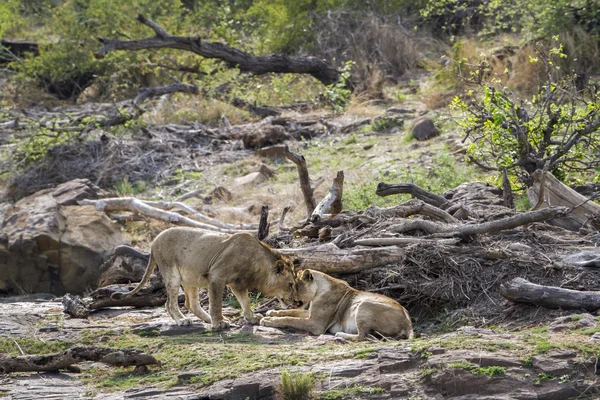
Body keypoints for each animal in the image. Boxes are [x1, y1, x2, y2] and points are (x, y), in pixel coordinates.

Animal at [111, 228, 296, 328]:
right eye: (290, 284)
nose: (297, 301)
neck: (257, 263)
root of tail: (153, 242)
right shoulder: (216, 276)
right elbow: (216, 303)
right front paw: (219, 323)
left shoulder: (238, 284)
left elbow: (245, 302)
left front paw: (251, 318)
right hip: (172, 275)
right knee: (169, 303)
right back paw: (182, 321)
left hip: (190, 278)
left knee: (191, 304)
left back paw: (206, 319)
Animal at [260, 268, 414, 340]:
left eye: (294, 287)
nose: (285, 299)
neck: (319, 288)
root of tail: (408, 322)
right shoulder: (310, 314)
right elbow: (291, 312)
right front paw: (271, 312)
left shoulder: (316, 324)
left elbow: (291, 319)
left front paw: (269, 320)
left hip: (364, 304)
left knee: (362, 336)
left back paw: (340, 334)